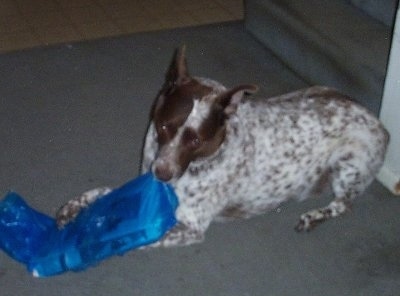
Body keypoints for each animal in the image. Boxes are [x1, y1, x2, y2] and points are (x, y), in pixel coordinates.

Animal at [56, 48, 388, 247]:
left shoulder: (189, 225)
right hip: (308, 92)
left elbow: (134, 236)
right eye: (163, 128)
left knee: (343, 205)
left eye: (196, 140)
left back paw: (314, 216)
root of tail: (378, 121)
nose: (162, 174)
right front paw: (74, 208)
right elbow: (102, 192)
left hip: (349, 163)